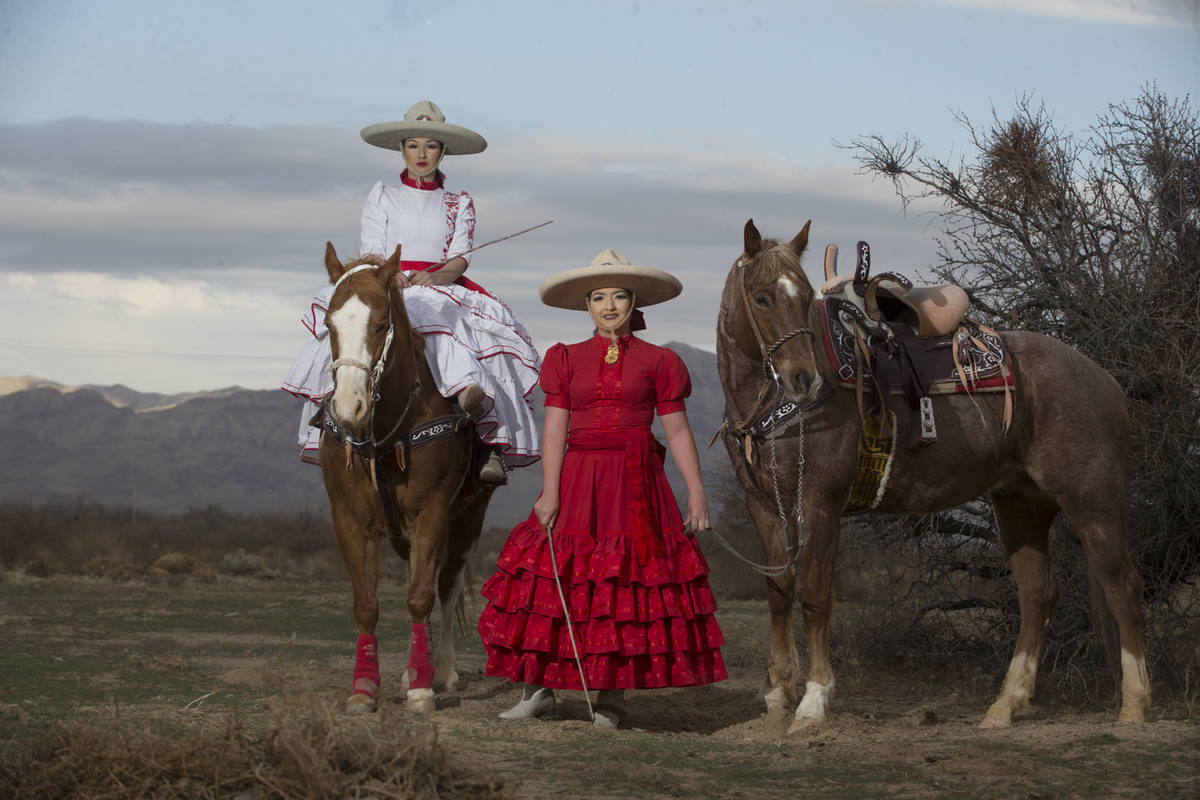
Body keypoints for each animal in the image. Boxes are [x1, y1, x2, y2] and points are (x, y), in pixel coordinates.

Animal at [316, 242, 494, 714]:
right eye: (328, 324)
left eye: (381, 325)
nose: (349, 408)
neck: (386, 427)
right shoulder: (349, 518)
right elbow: (366, 604)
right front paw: (365, 689)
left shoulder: (433, 512)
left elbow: (421, 596)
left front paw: (421, 692)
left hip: (470, 516)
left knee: (446, 586)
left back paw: (441, 672)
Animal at [715, 219, 1147, 734]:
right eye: (762, 298)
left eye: (802, 297)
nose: (804, 380)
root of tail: (1105, 381)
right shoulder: (765, 508)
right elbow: (779, 594)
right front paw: (778, 694)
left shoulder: (819, 504)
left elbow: (815, 598)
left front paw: (813, 701)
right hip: (1022, 505)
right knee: (1038, 594)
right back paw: (1005, 705)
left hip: (1093, 503)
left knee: (1122, 586)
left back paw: (1134, 704)